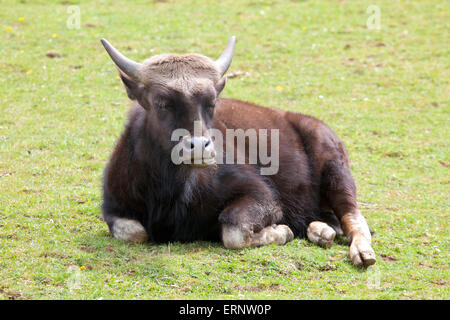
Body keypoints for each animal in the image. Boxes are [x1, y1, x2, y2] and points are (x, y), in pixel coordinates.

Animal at [99, 37, 376, 268]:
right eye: (160, 103)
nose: (199, 147)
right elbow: (134, 232)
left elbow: (233, 230)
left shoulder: (263, 196)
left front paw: (281, 232)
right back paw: (321, 231)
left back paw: (361, 252)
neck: (171, 189)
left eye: (211, 103)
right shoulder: (112, 207)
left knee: (354, 217)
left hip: (336, 171)